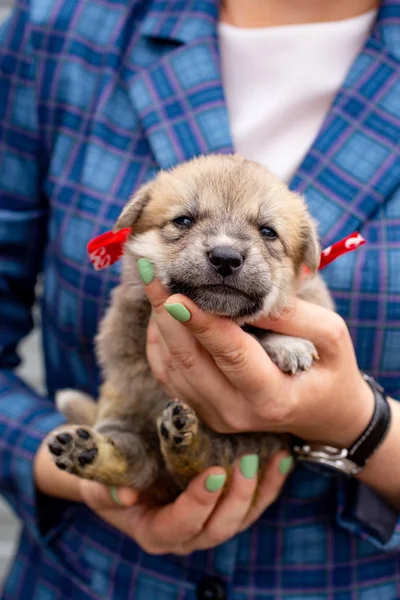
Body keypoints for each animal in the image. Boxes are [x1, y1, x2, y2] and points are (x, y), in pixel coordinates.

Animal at [47, 154, 334, 502]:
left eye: (268, 231)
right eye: (183, 221)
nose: (225, 258)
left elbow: (264, 325)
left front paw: (289, 343)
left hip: (250, 448)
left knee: (203, 466)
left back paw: (181, 437)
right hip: (122, 410)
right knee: (138, 460)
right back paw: (91, 451)